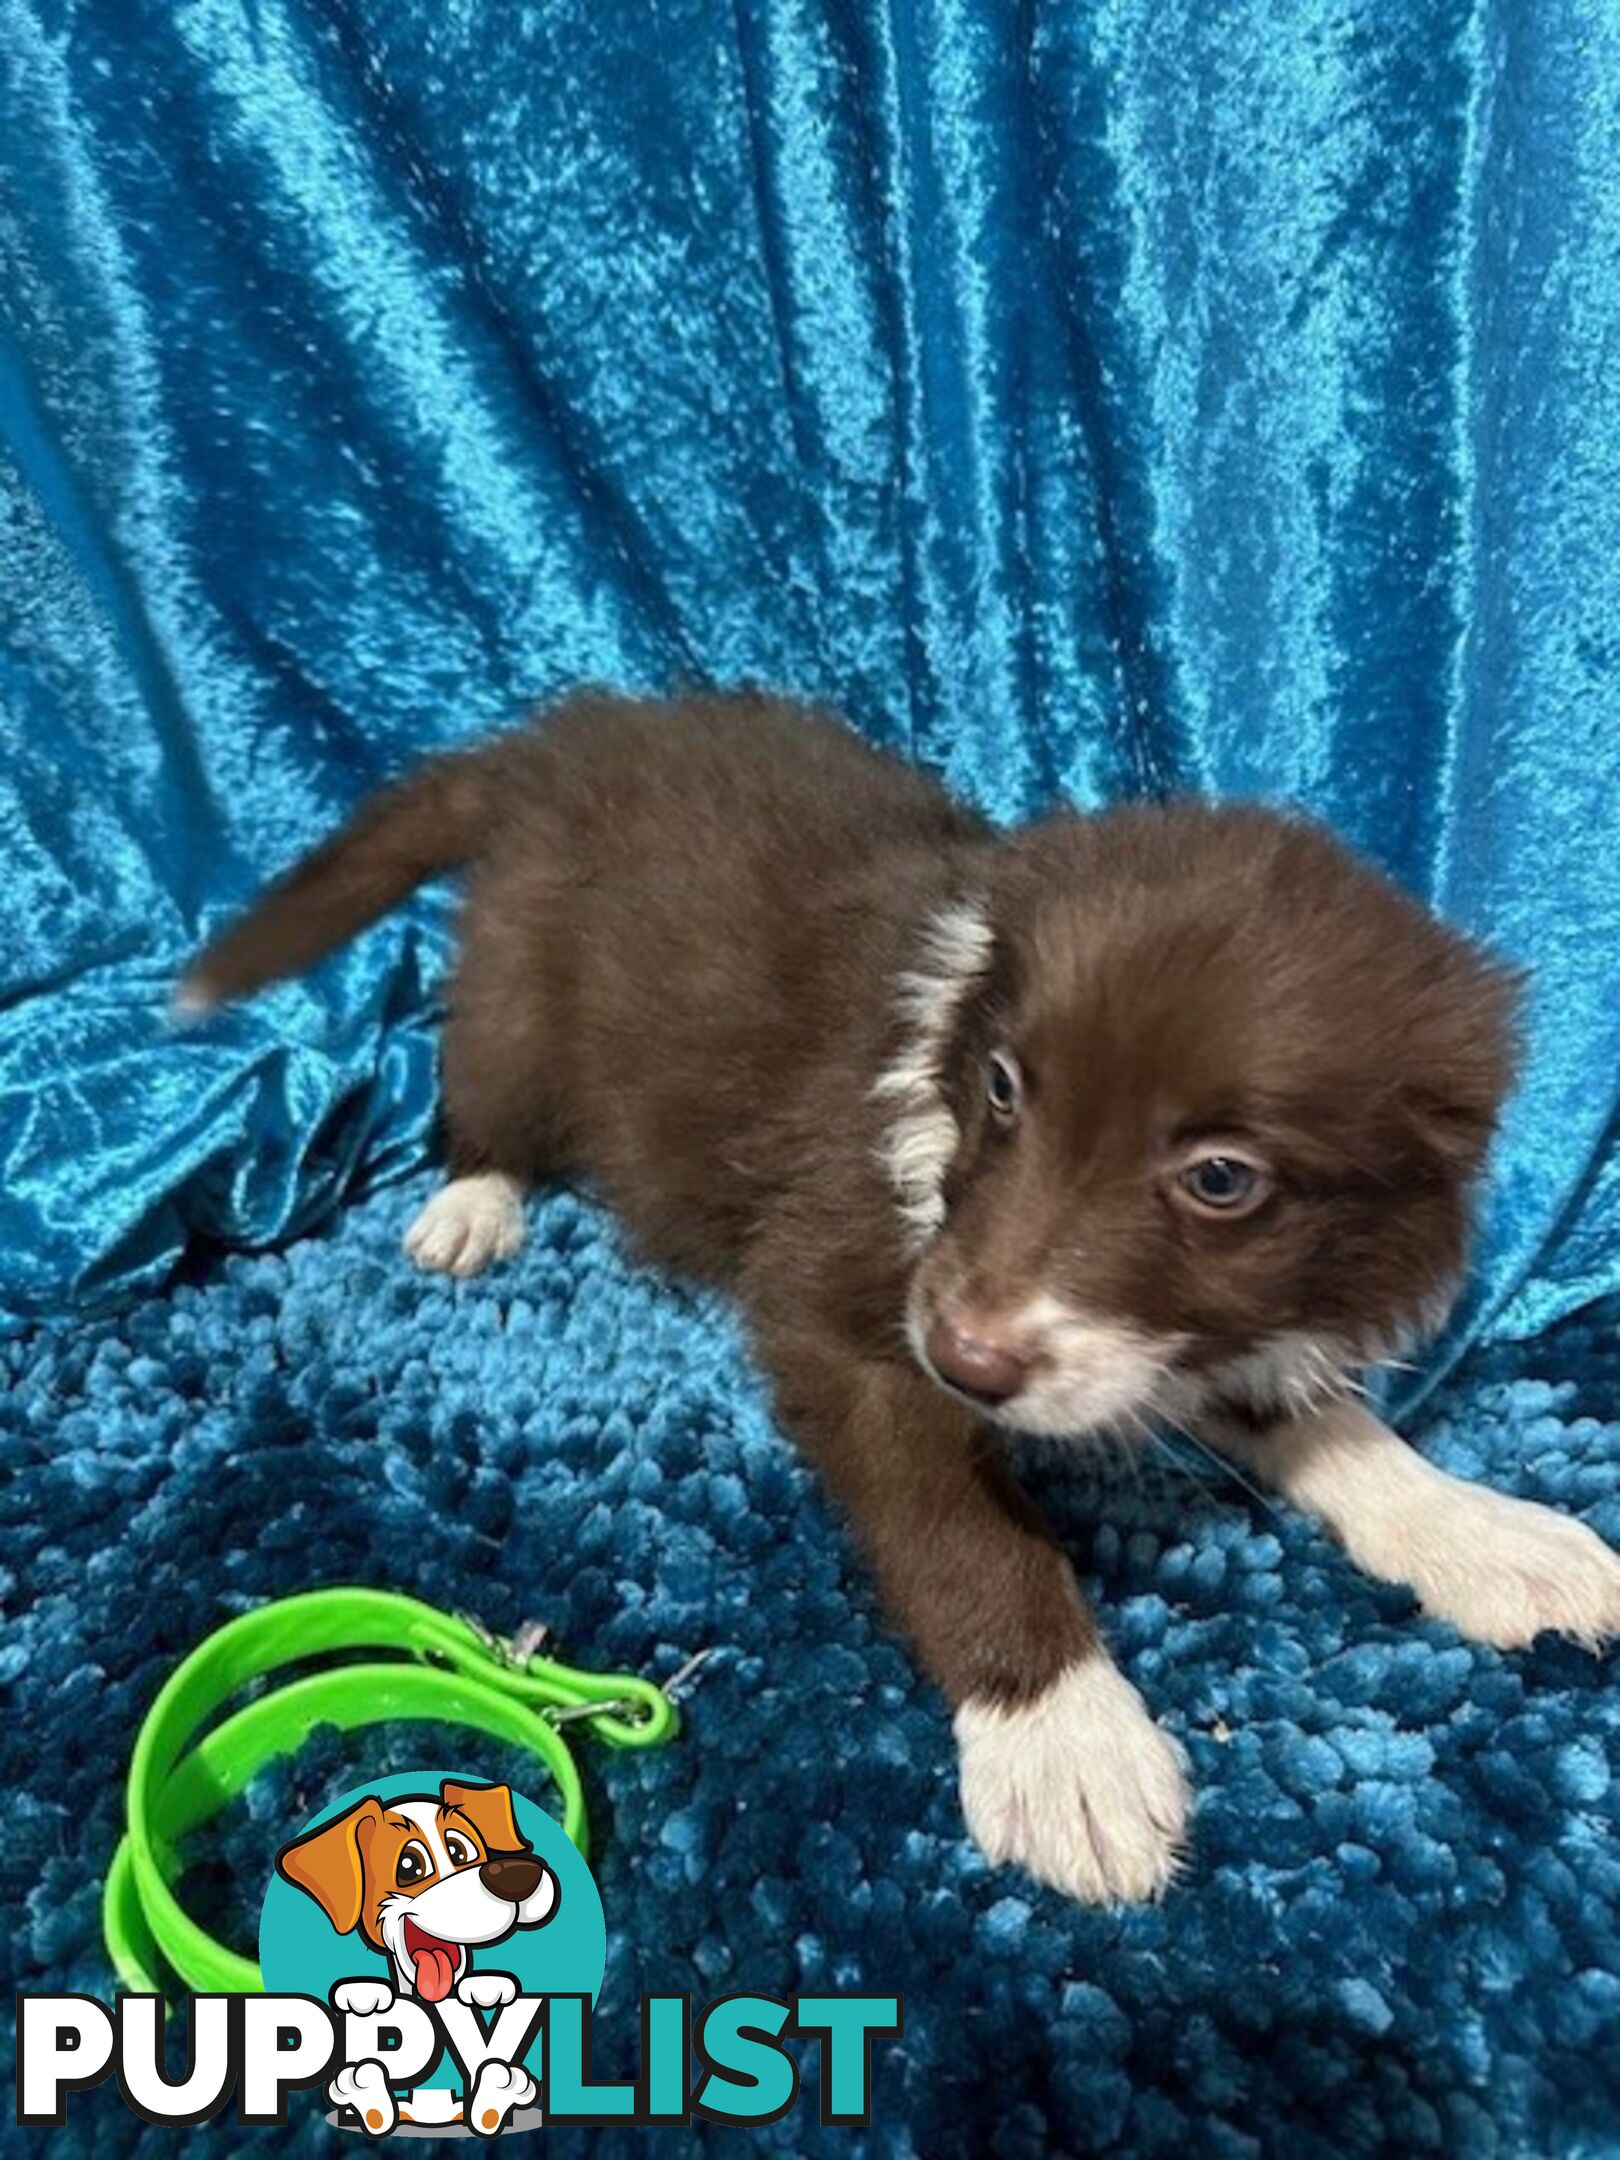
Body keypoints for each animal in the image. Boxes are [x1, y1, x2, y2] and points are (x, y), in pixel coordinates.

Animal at [183, 695, 1620, 1909]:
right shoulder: (850, 1307)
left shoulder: (1191, 1319)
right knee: (483, 1088)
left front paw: (1491, 1537)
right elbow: (958, 1524)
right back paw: (473, 1204)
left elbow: (1337, 1429)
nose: (967, 1358)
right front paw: (1063, 1740)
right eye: (1004, 1086)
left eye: (1222, 1179)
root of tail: (575, 731)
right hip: (523, 986)